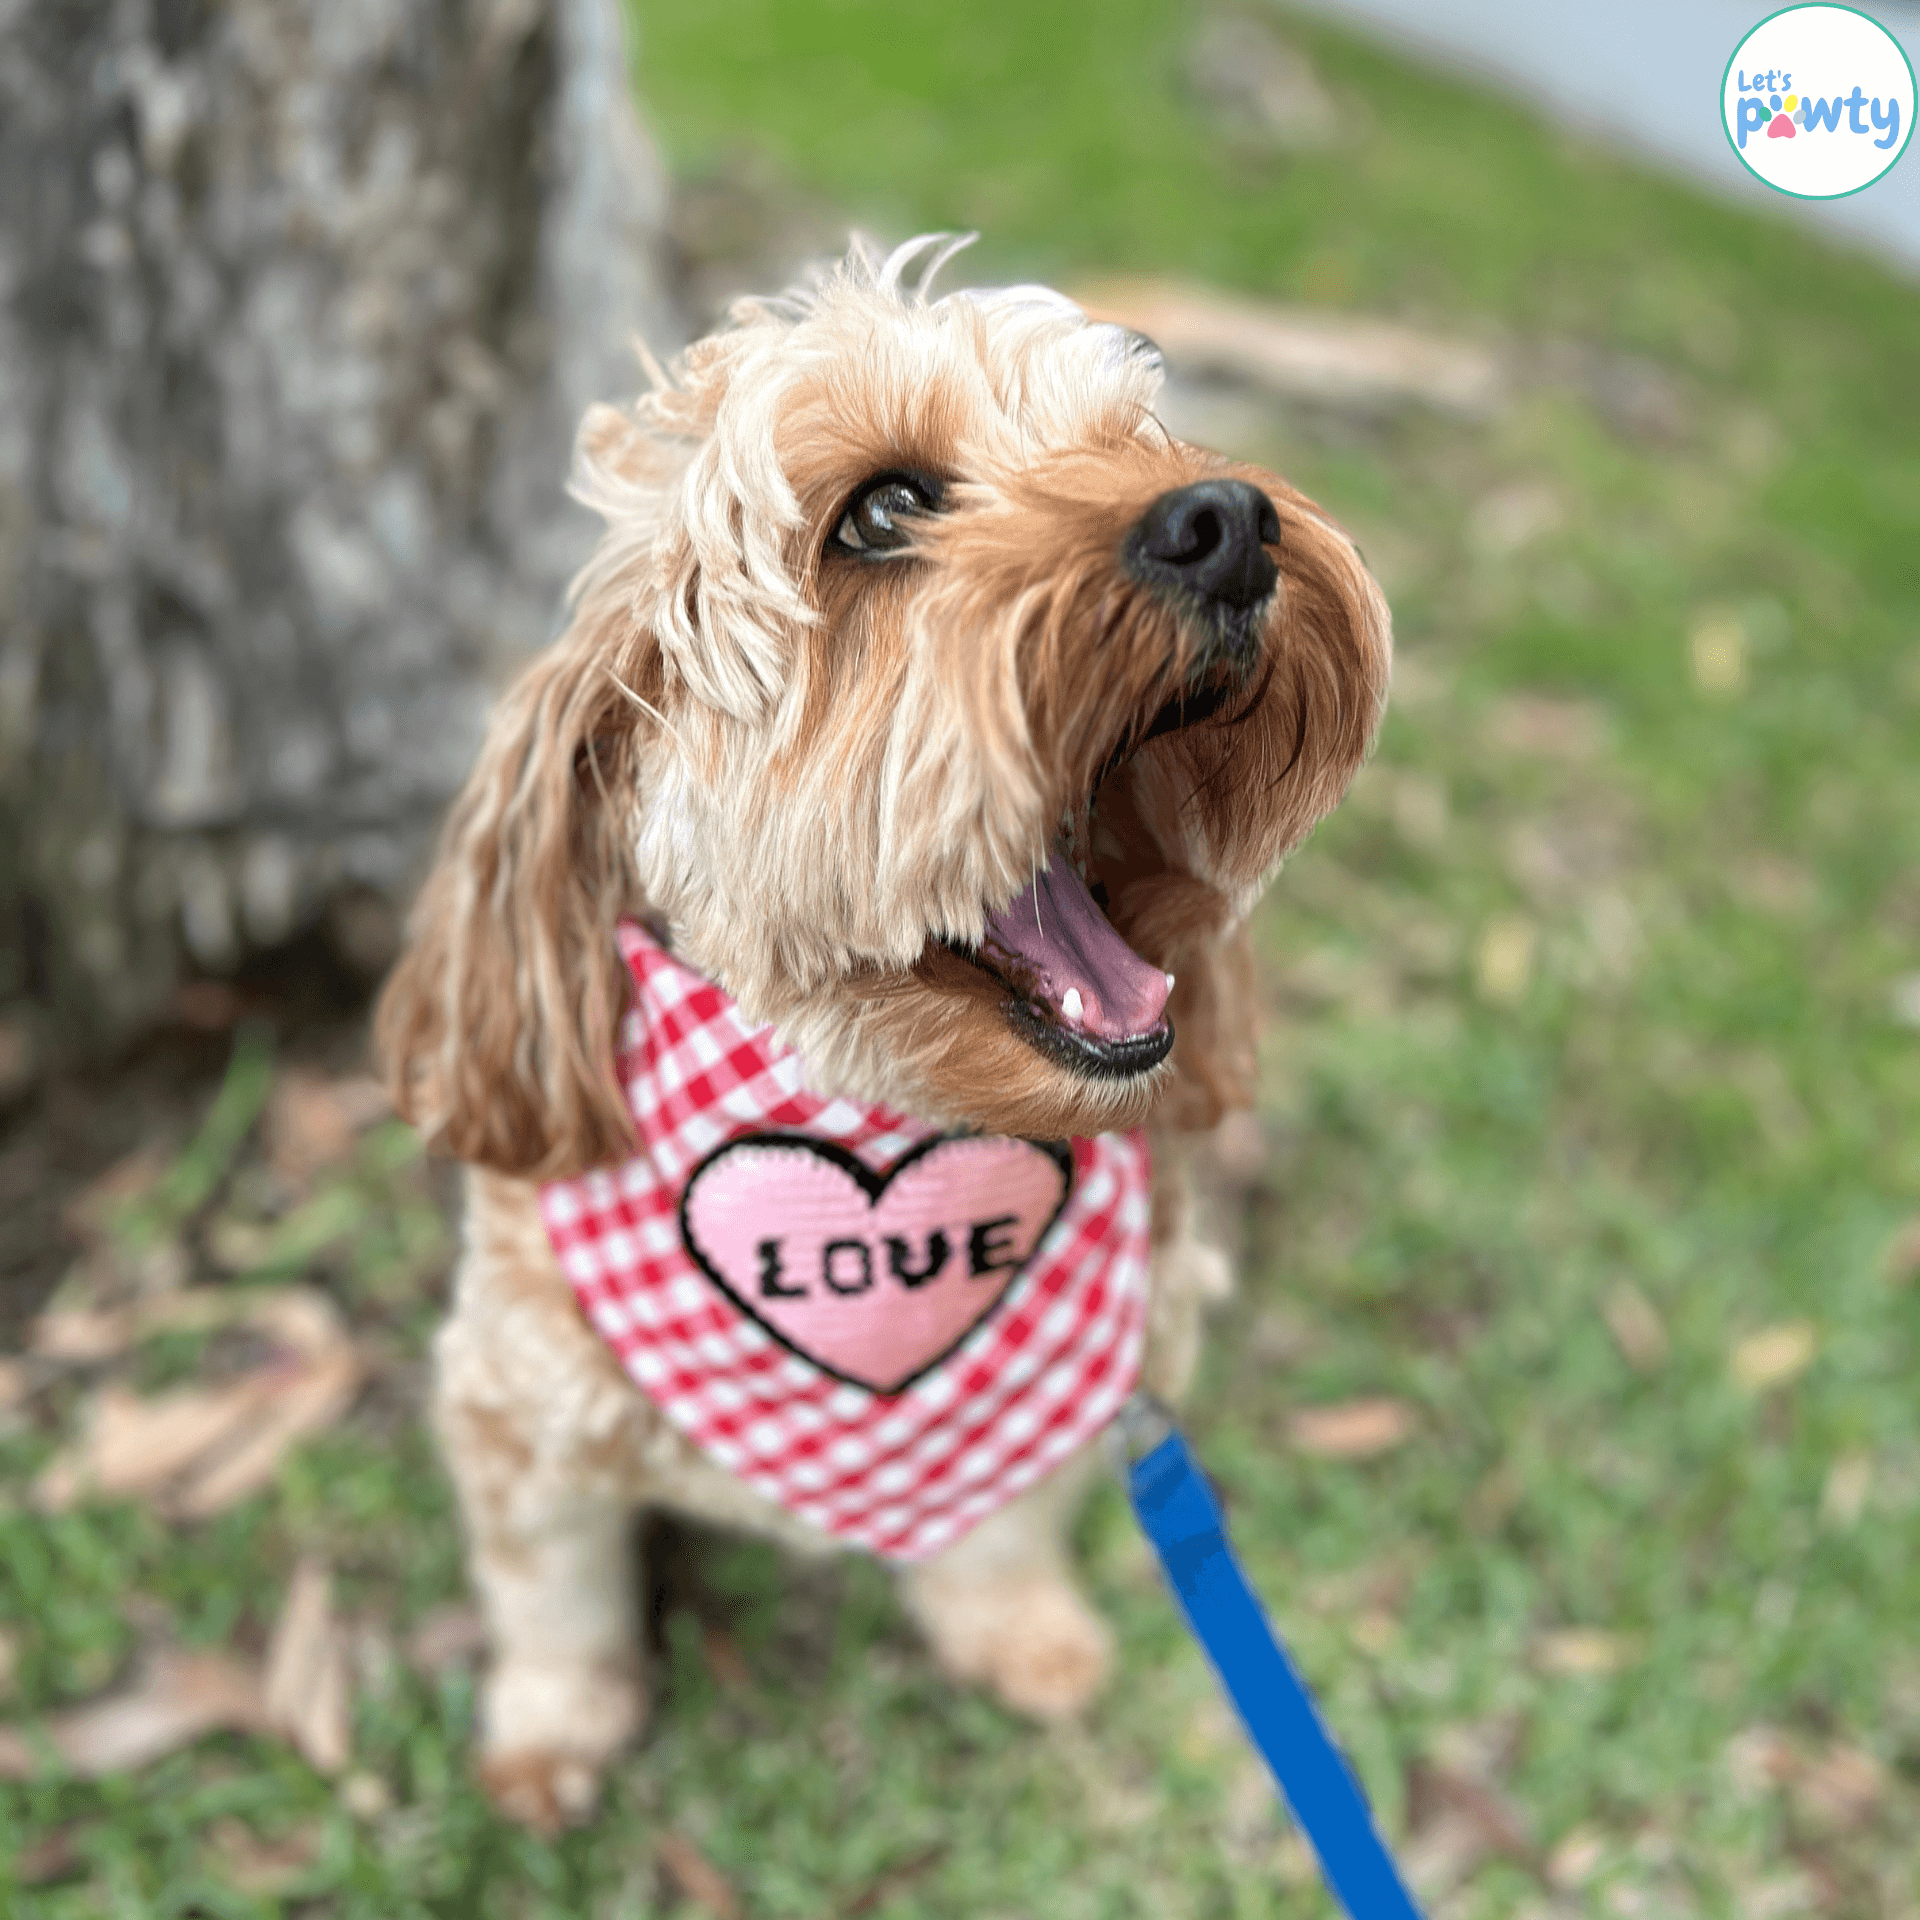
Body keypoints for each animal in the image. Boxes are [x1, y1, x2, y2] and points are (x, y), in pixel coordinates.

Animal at [378, 236, 1397, 1827]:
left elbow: (1002, 1528)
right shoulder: (522, 1418)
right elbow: (556, 1601)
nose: (1228, 518)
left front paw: (1025, 1635)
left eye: (1133, 438)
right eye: (881, 510)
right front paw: (551, 1737)